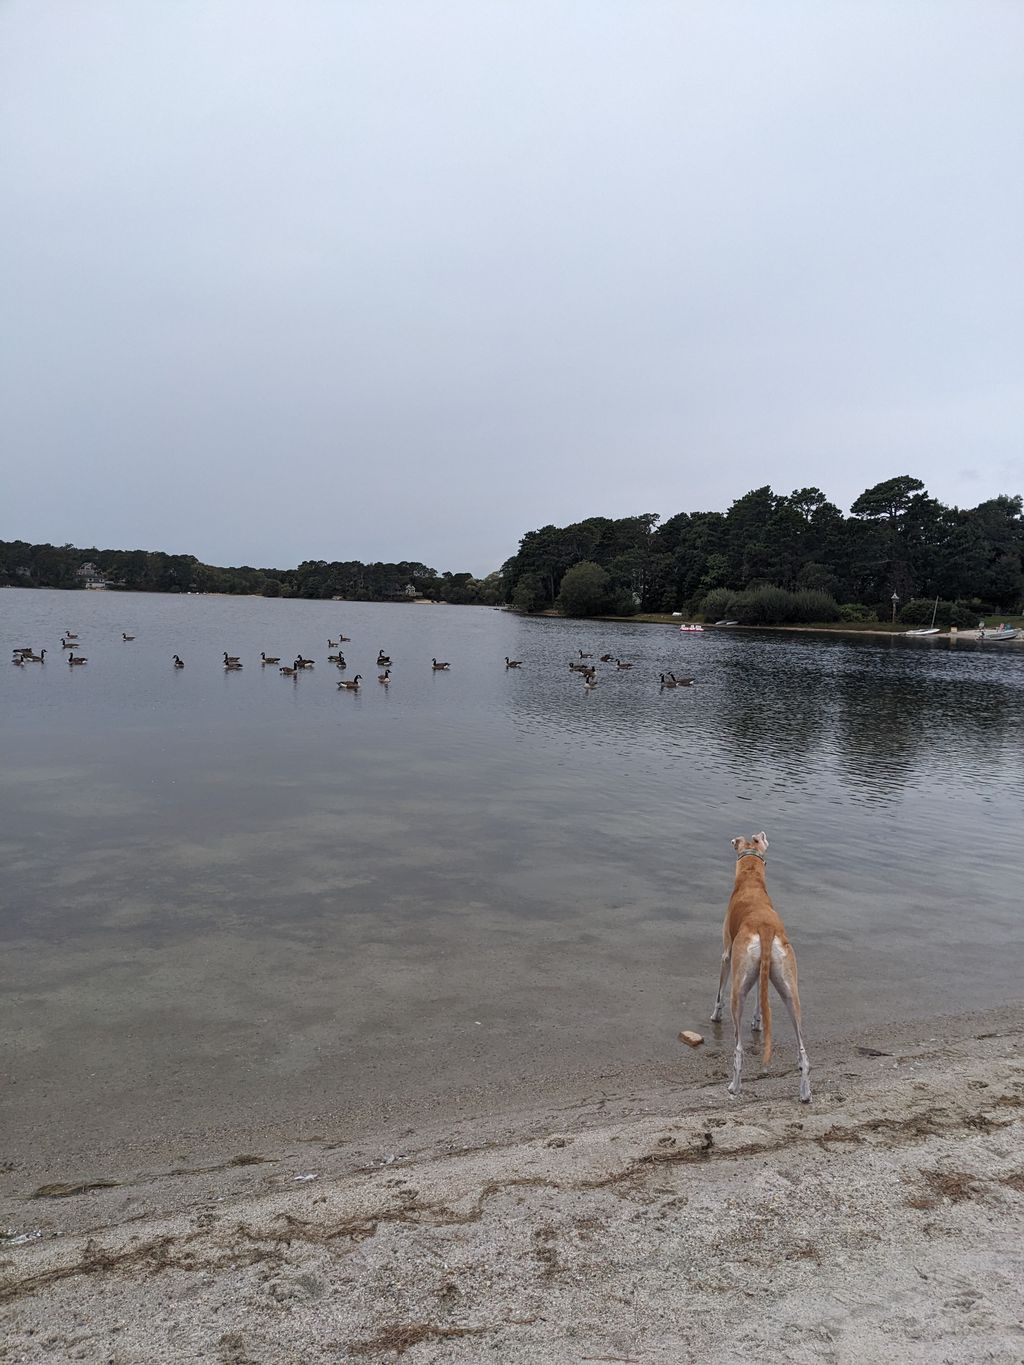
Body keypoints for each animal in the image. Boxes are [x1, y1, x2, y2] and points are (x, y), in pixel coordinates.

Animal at [715, 824, 808, 1102]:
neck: (751, 882)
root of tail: (766, 928)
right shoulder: (759, 973)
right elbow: (760, 998)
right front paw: (757, 1021)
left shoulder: (727, 954)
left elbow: (717, 993)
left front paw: (714, 1015)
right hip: (789, 989)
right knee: (803, 1051)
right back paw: (805, 1092)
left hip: (737, 991)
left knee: (738, 1049)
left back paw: (734, 1087)